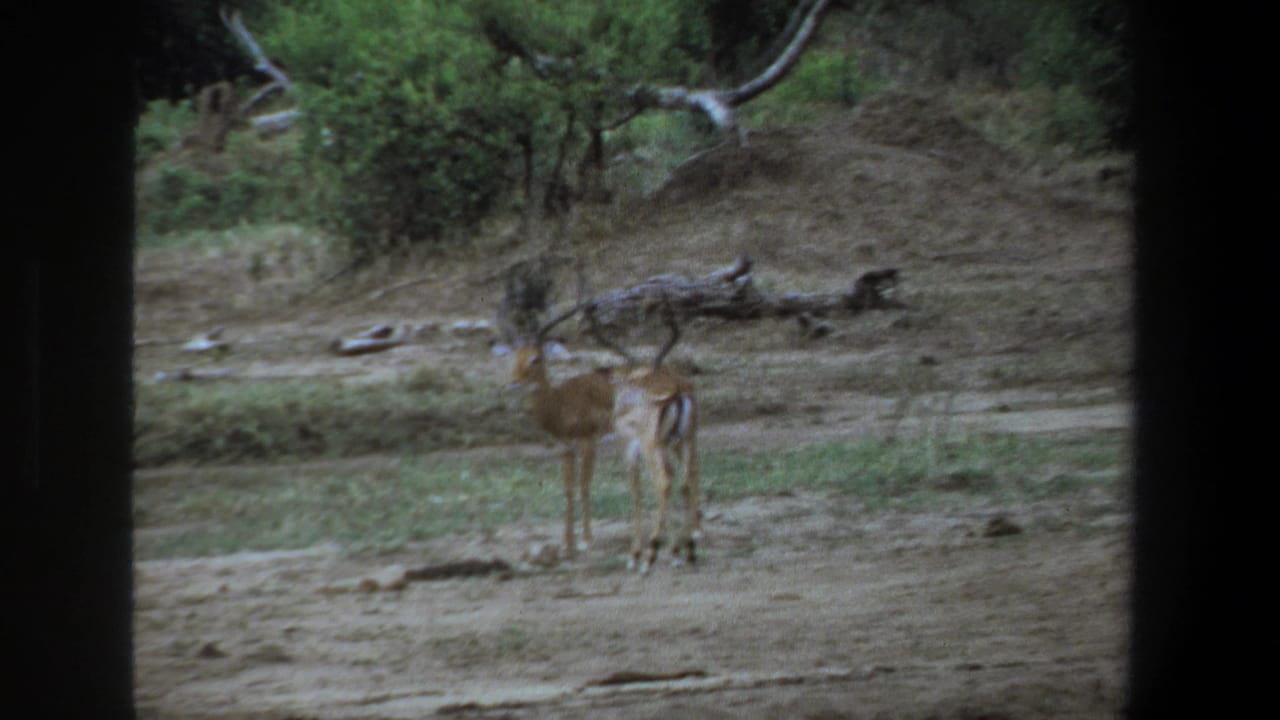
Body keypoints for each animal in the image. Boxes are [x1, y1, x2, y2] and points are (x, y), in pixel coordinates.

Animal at [498, 304, 615, 559]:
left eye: (536, 358)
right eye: (516, 356)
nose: (514, 383)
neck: (561, 404)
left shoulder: (588, 441)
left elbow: (584, 485)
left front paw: (587, 540)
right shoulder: (566, 448)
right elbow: (568, 490)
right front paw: (568, 545)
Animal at [586, 302, 701, 573]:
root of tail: (677, 390)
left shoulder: (631, 447)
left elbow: (636, 489)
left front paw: (635, 555)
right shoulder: (671, 444)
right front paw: (677, 551)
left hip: (653, 446)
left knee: (665, 481)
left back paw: (650, 555)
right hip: (686, 441)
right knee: (686, 481)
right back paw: (689, 550)